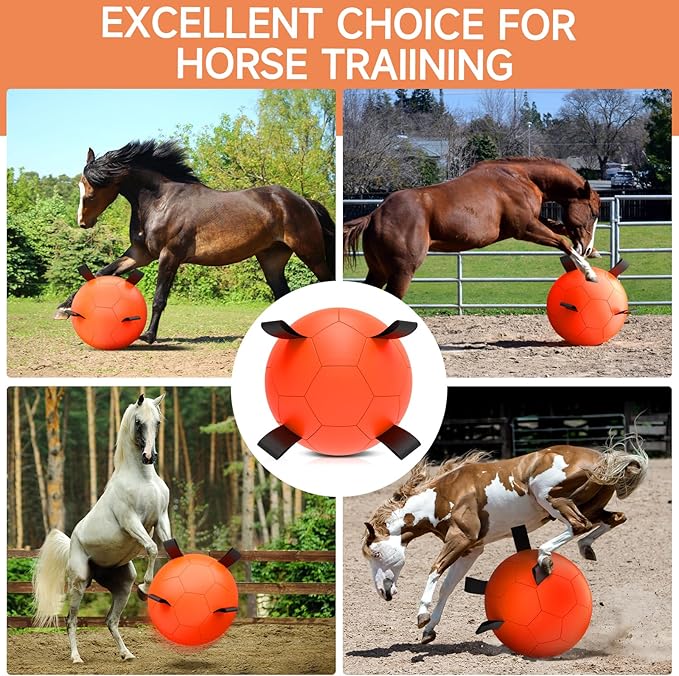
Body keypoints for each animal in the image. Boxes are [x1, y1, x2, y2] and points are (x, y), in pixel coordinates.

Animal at [33, 394, 170, 663]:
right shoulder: (131, 521)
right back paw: (76, 657)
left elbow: (169, 550)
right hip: (79, 582)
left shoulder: (161, 519)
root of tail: (71, 543)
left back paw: (127, 654)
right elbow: (151, 548)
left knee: (111, 620)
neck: (144, 478)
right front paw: (145, 589)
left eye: (157, 422)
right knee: (71, 620)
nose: (149, 456)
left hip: (123, 583)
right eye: (138, 422)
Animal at [55, 140, 335, 343]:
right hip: (272, 260)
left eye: (91, 190)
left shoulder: (169, 255)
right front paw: (64, 308)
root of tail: (302, 201)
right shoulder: (139, 254)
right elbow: (102, 272)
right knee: (282, 294)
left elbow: (159, 297)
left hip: (310, 253)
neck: (160, 201)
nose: (83, 222)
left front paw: (149, 336)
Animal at [344, 157, 601, 298]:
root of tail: (375, 214)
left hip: (378, 271)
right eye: (593, 213)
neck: (520, 177)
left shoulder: (532, 222)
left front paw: (592, 253)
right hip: (402, 272)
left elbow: (561, 230)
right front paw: (589, 272)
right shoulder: (525, 228)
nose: (587, 246)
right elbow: (562, 241)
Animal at [362, 442, 648, 645]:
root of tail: (602, 459)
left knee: (578, 525)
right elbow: (447, 587)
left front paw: (422, 615)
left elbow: (434, 570)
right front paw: (429, 629)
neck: (442, 497)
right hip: (590, 505)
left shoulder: (461, 539)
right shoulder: (471, 549)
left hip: (551, 498)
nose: (383, 592)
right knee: (614, 519)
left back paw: (544, 557)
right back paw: (585, 548)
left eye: (375, 554)